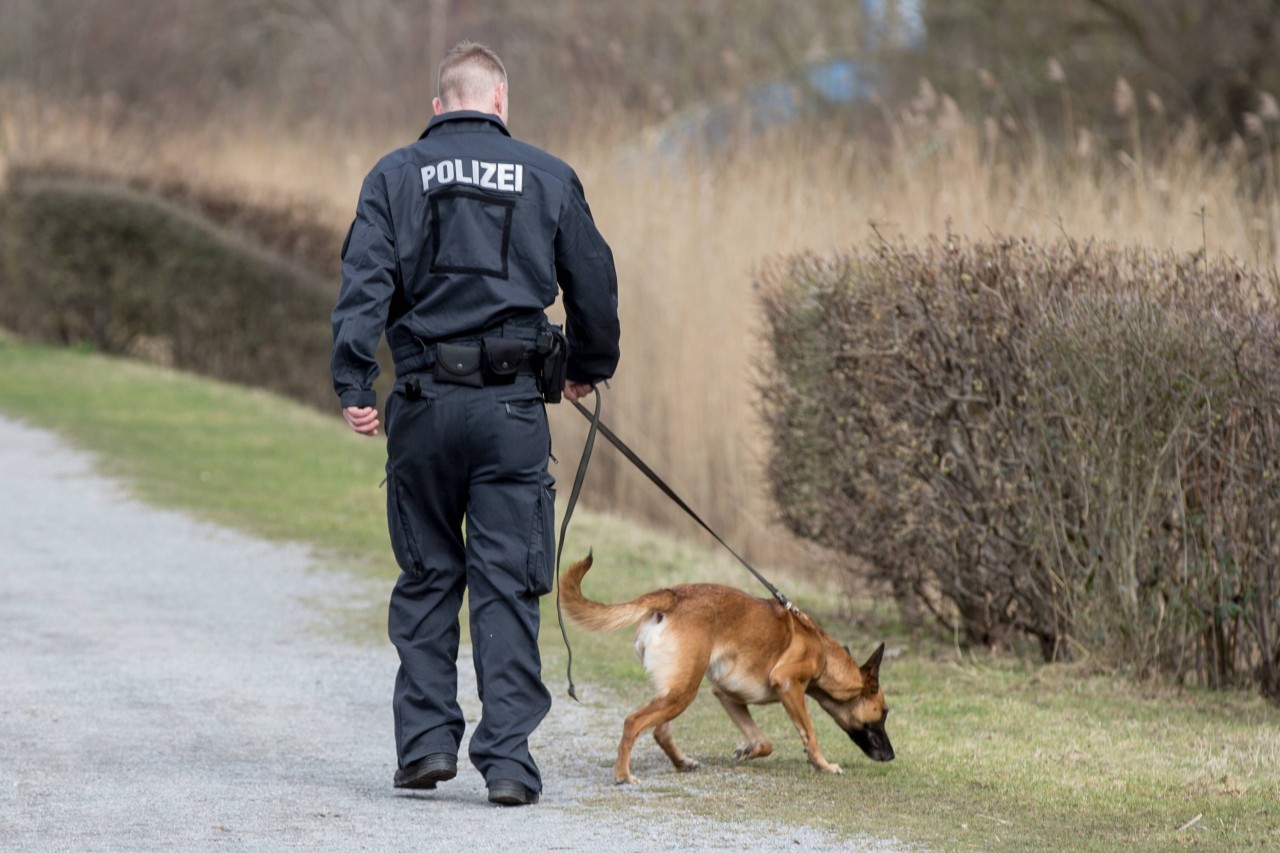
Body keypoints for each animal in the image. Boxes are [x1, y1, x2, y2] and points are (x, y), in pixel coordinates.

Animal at [560, 555, 890, 778]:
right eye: (884, 712)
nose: (891, 755)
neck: (824, 653)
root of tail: (672, 596)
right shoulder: (788, 685)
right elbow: (809, 733)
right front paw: (823, 764)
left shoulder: (727, 696)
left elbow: (764, 742)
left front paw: (748, 750)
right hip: (682, 692)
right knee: (633, 723)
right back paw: (624, 775)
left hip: (674, 690)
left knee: (660, 731)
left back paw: (682, 762)